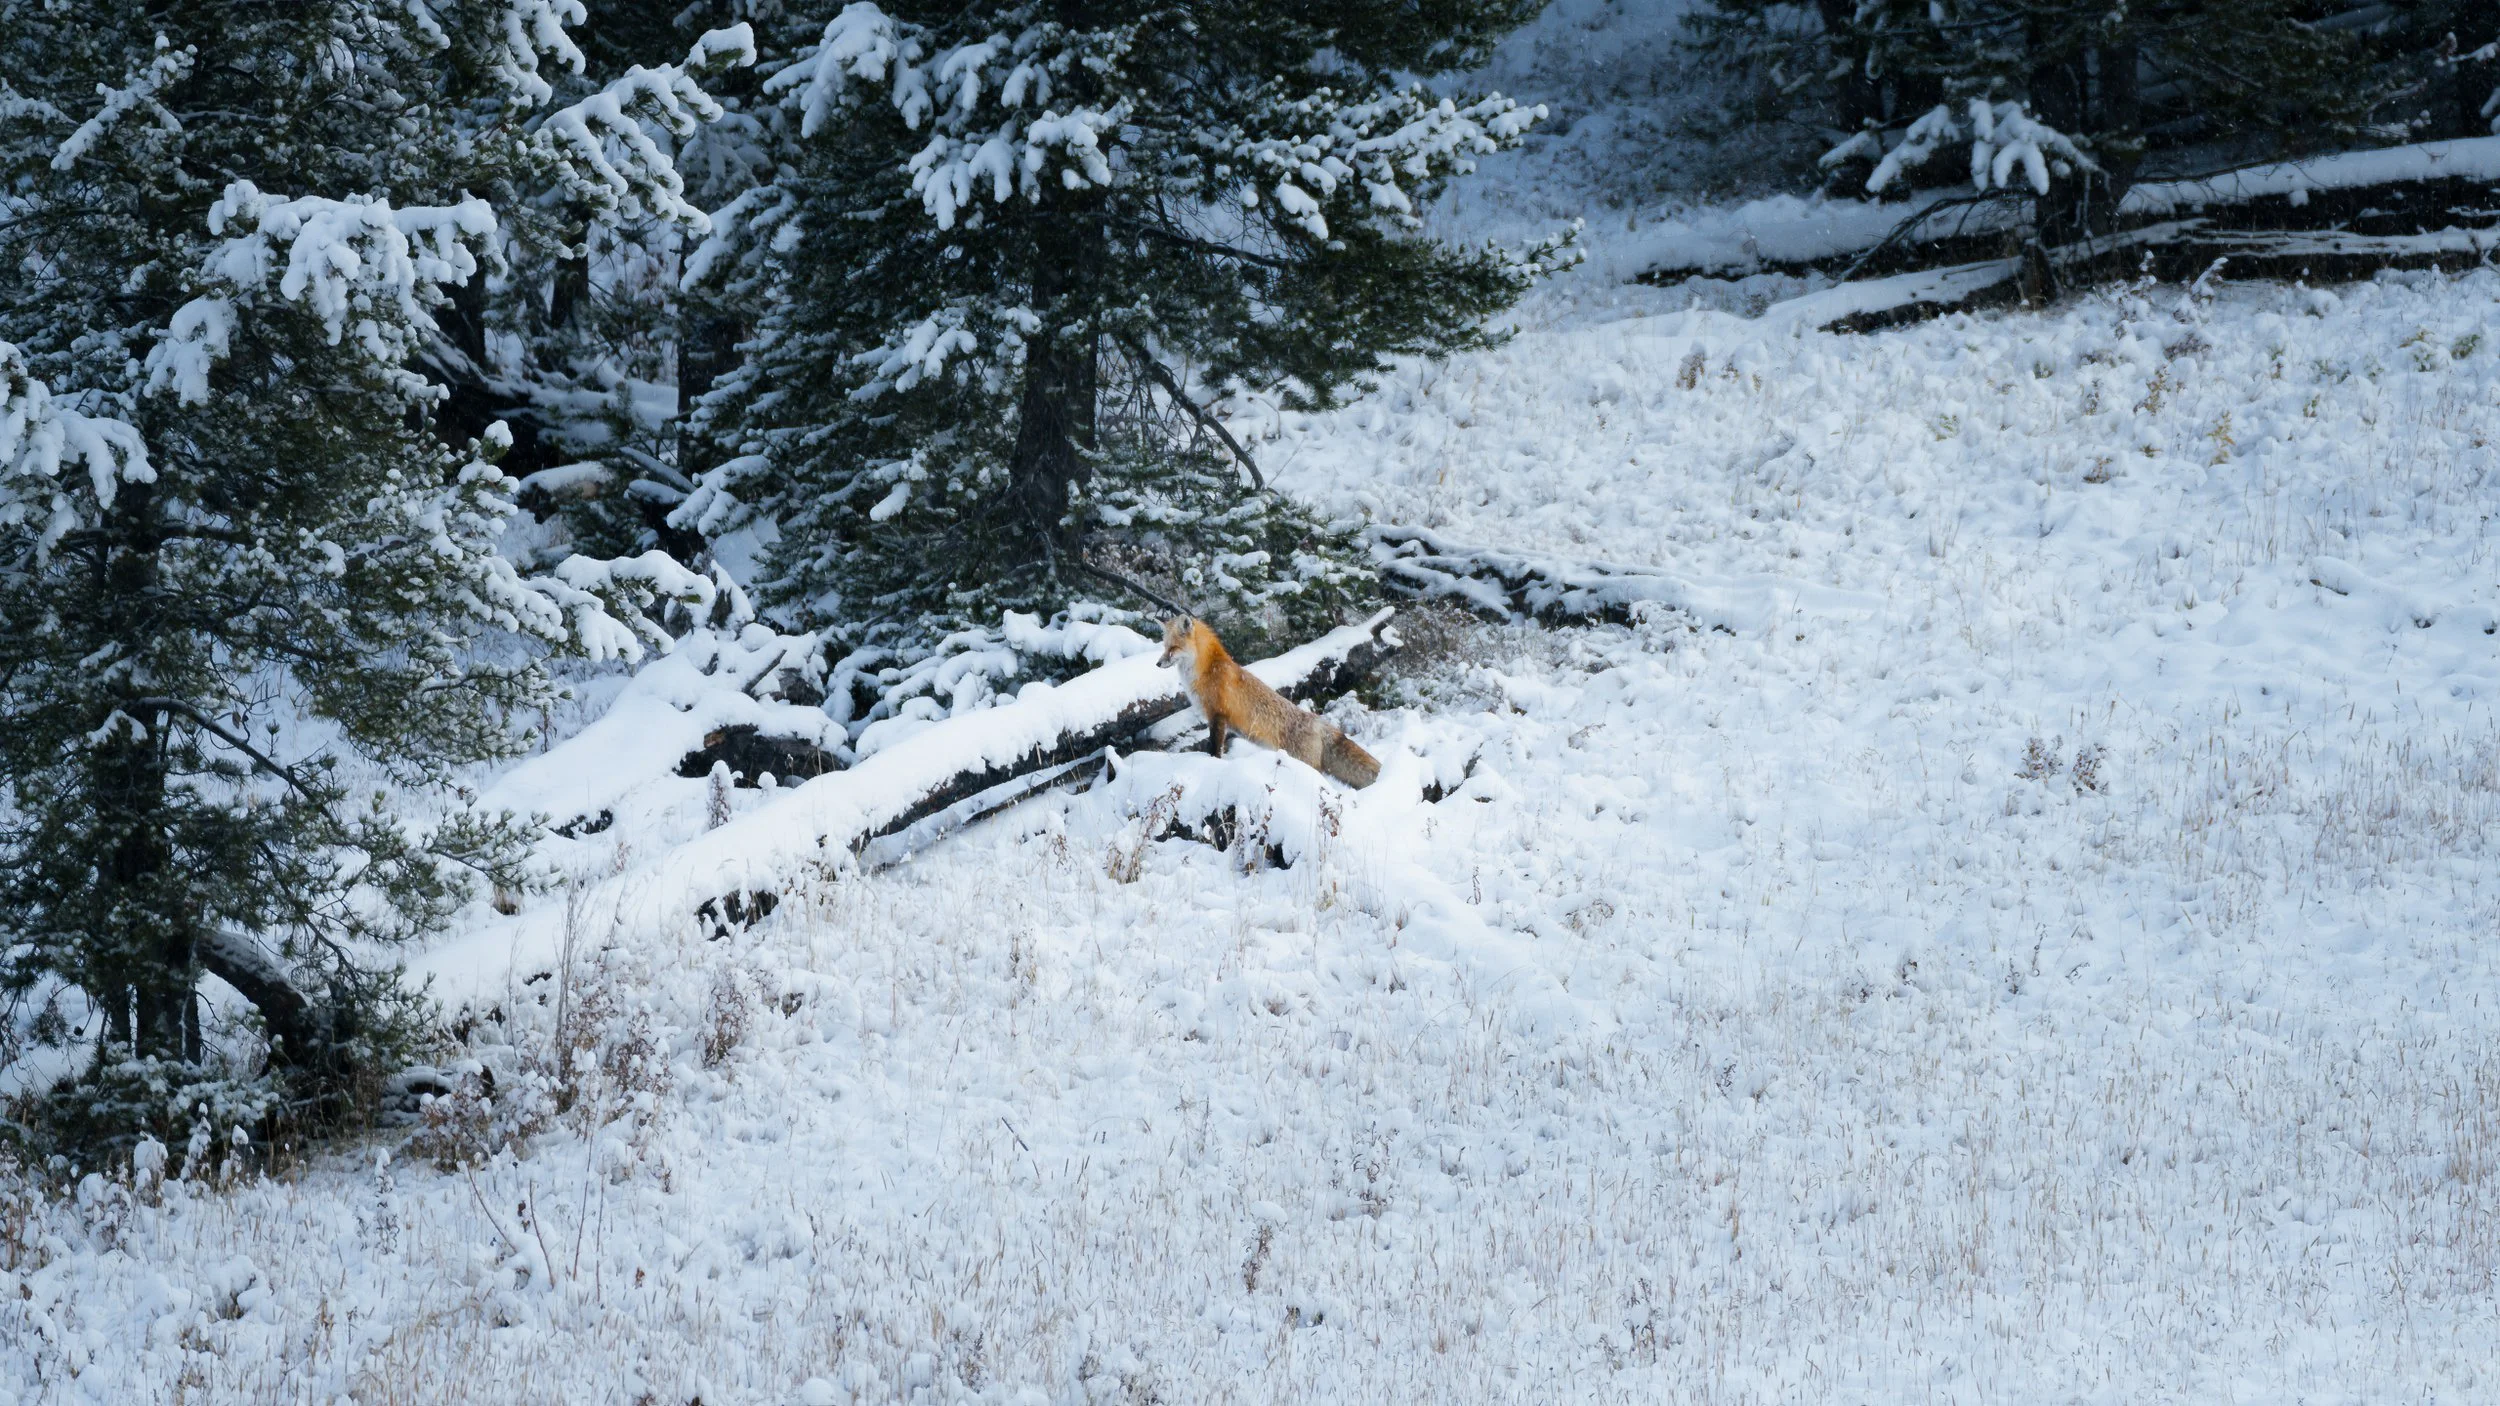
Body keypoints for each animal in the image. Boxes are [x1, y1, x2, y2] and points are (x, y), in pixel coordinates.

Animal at [1158, 617, 1380, 789]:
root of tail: (1319, 723)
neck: (1207, 670)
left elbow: (1214, 749)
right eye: (1164, 647)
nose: (1158, 664)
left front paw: (1212, 763)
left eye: (1173, 648)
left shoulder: (1218, 715)